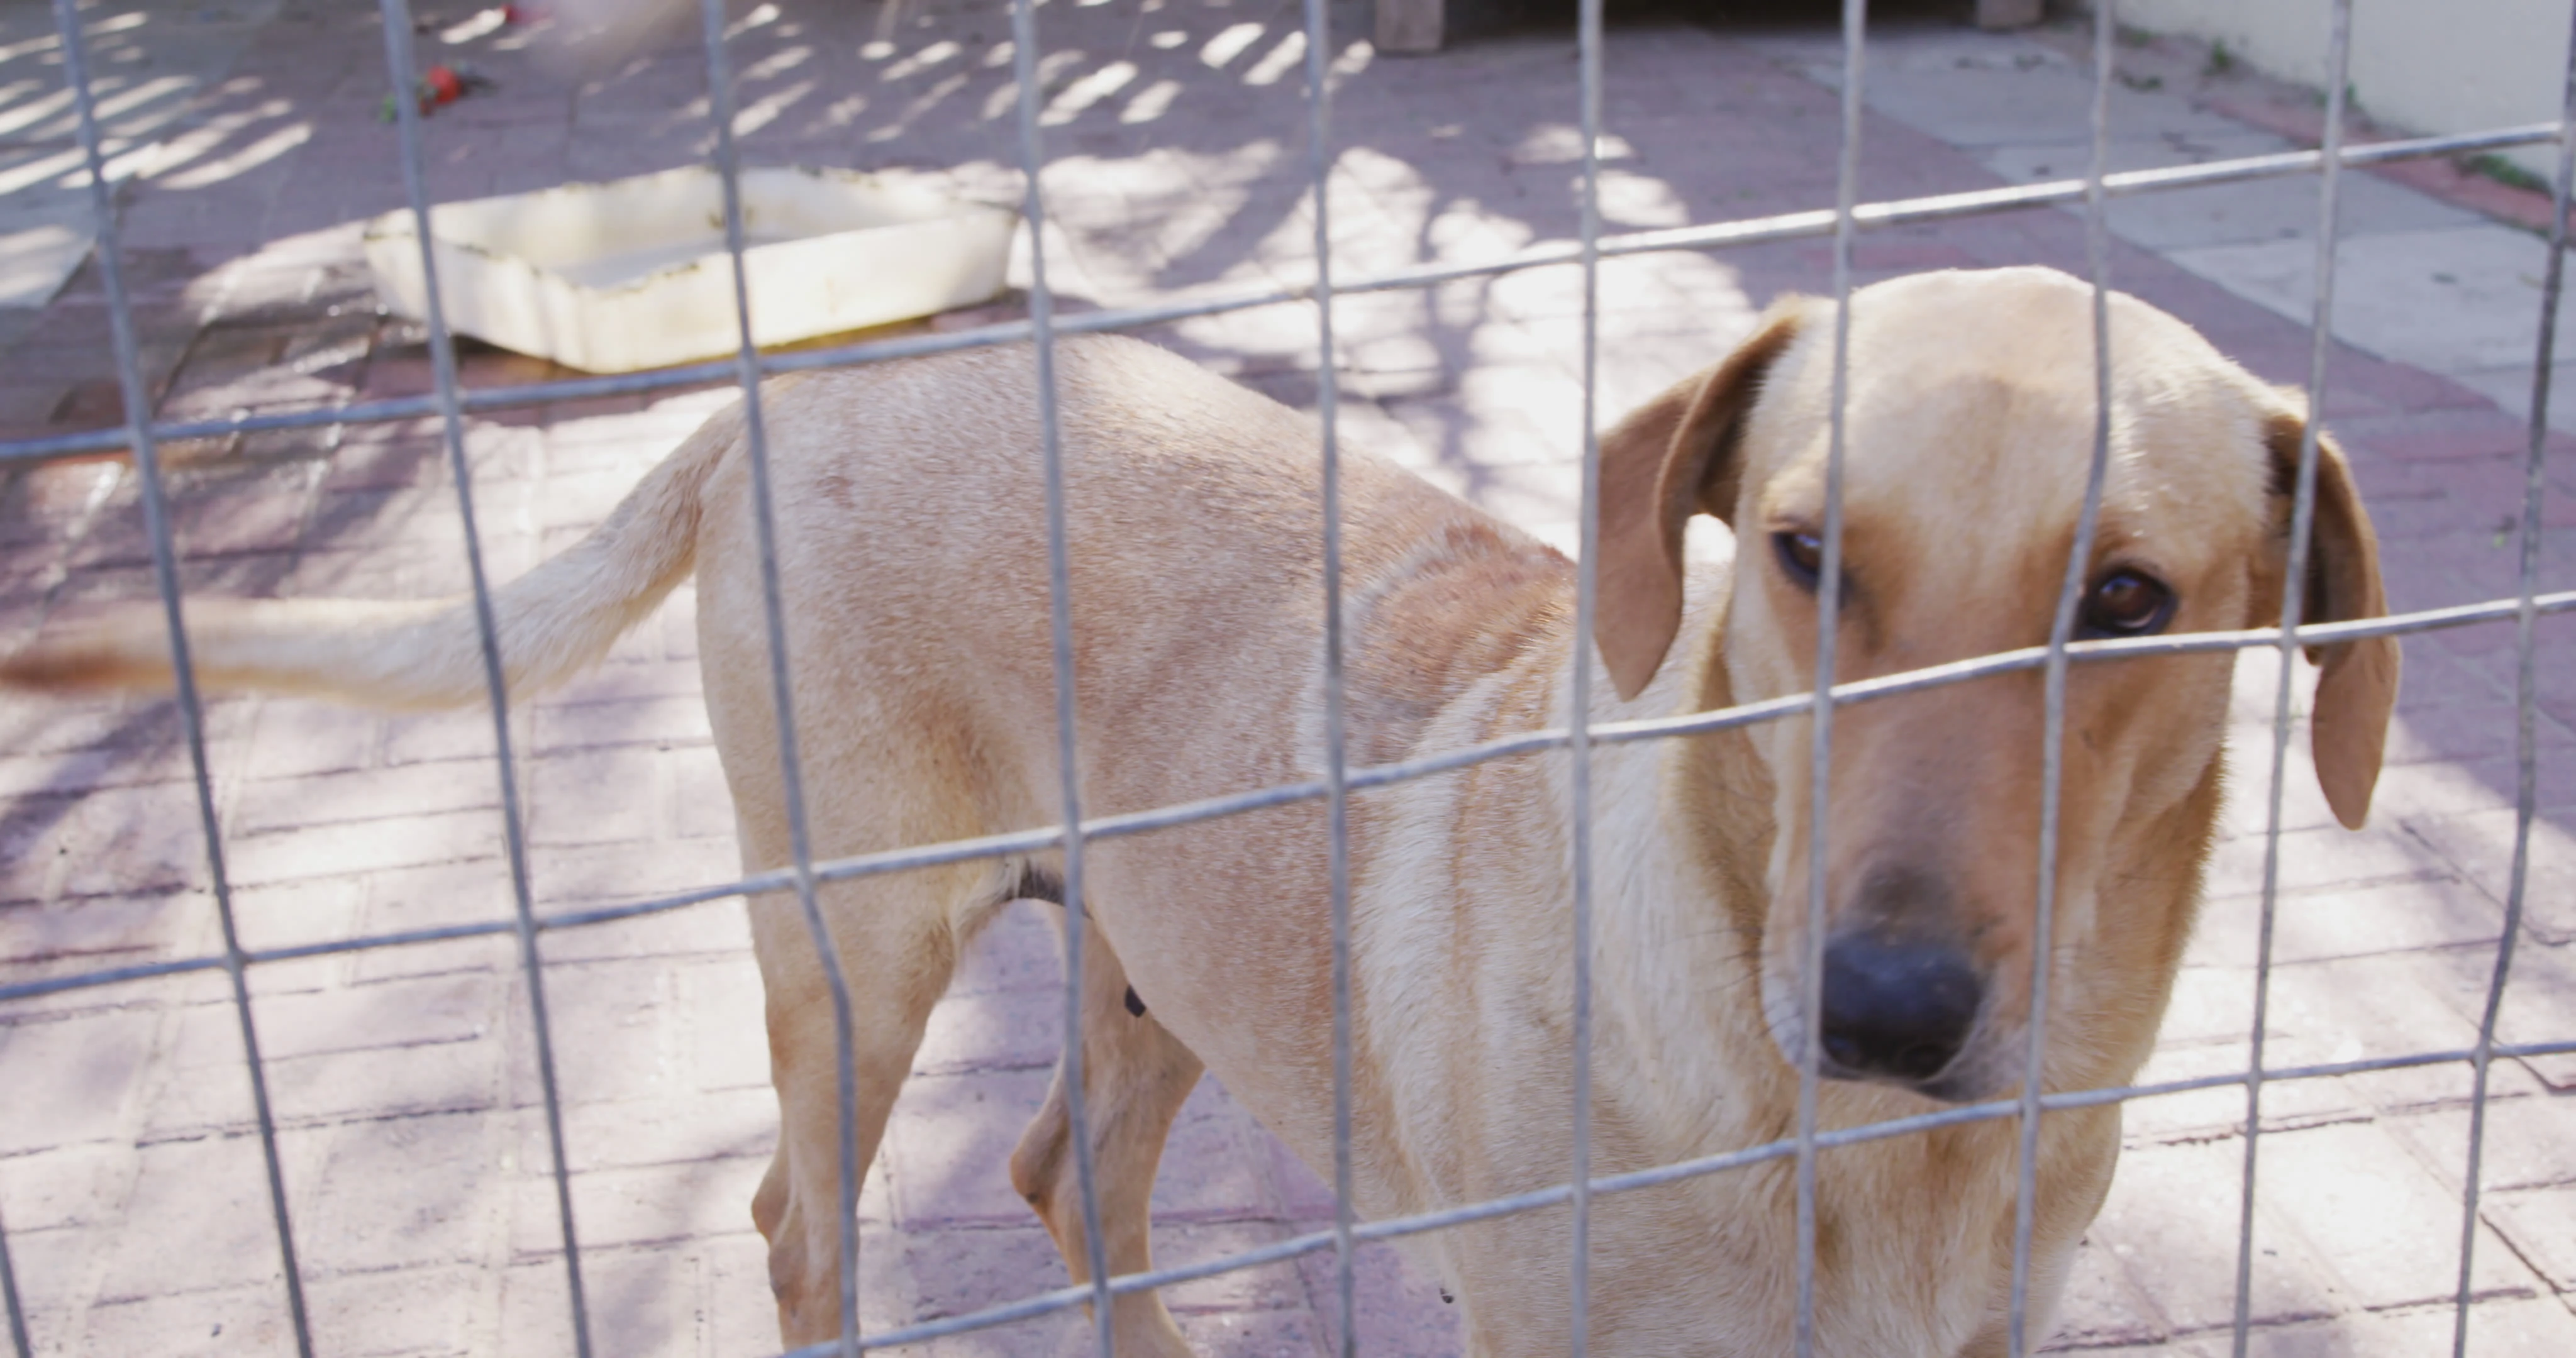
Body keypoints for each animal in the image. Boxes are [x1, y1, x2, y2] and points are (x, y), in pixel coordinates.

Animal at [0, 268, 2390, 1358]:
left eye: (2125, 600)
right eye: (1803, 557)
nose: (1884, 1004)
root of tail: (792, 390)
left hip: (1153, 971)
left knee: (1058, 1171)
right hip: (858, 965)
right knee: (798, 1224)